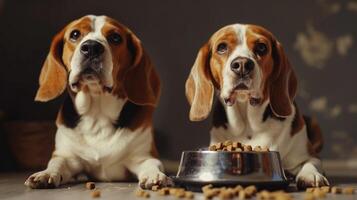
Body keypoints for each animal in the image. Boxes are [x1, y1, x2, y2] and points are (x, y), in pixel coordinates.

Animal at [24, 15, 172, 189]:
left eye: (115, 37)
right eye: (75, 34)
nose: (91, 47)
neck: (97, 115)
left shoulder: (144, 156)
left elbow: (152, 164)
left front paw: (155, 175)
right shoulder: (67, 156)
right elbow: (56, 163)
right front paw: (45, 174)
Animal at [186, 24, 328, 188]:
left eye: (261, 47)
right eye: (221, 47)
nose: (242, 65)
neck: (249, 124)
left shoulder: (309, 156)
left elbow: (310, 163)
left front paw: (310, 175)